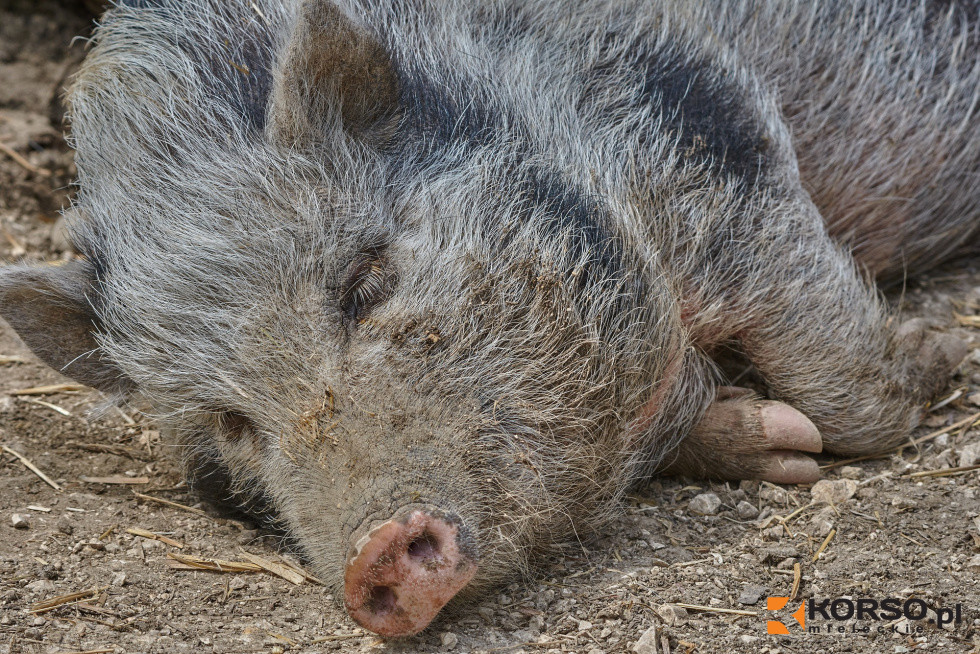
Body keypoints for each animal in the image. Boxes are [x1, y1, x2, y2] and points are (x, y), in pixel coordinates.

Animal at [0, 0, 976, 640]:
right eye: (232, 424)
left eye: (366, 280)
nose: (373, 552)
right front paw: (779, 441)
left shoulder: (710, 129)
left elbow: (839, 375)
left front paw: (938, 356)